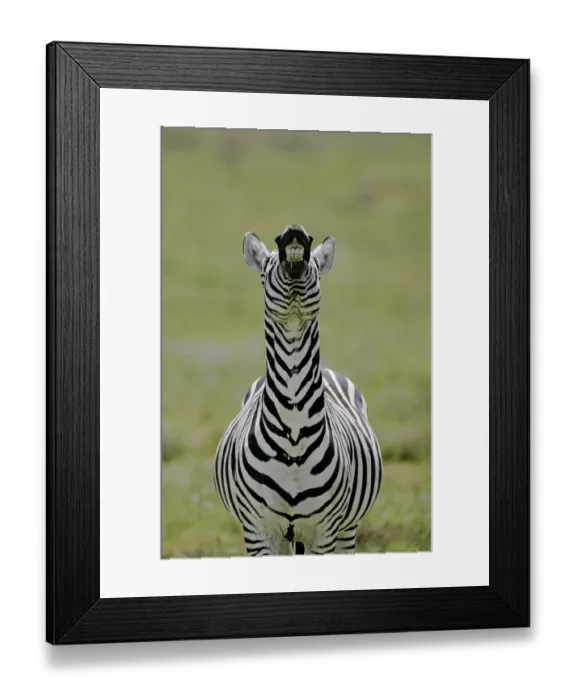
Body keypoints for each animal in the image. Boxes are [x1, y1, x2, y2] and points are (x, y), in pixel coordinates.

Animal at [214, 224, 383, 556]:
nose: (294, 231)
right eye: (264, 271)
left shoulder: (325, 532)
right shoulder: (258, 532)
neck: (294, 435)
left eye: (316, 268)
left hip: (347, 530)